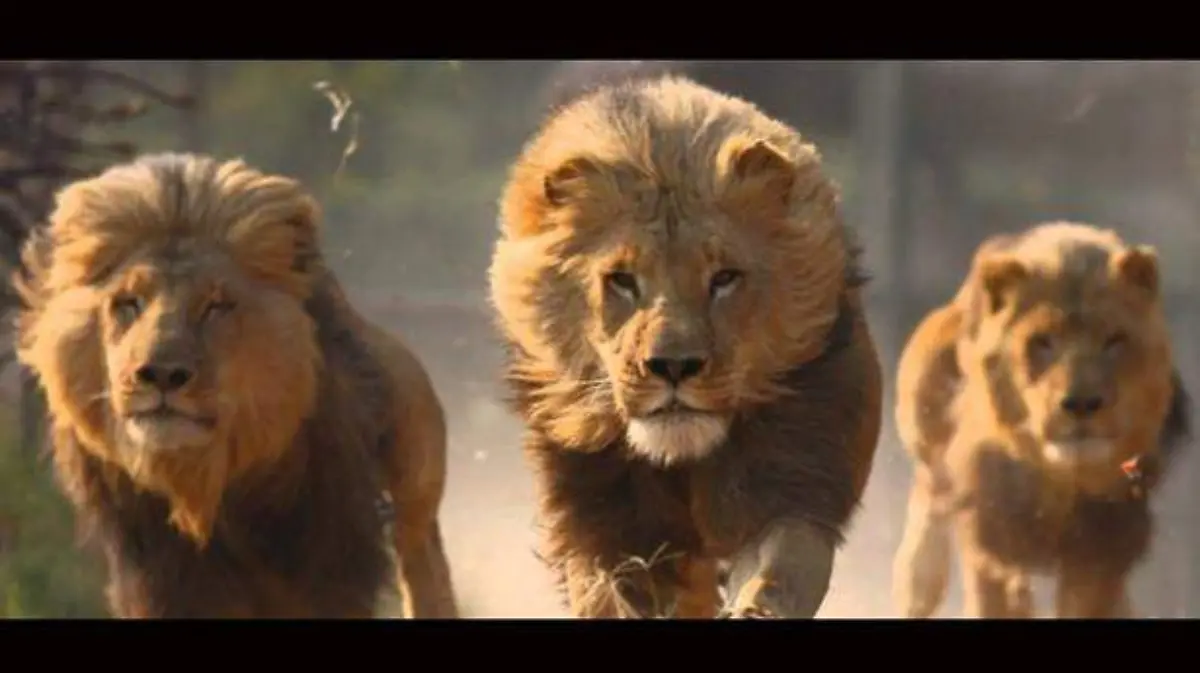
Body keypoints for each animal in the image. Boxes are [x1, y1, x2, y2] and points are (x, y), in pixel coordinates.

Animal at [12, 153, 459, 618]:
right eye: (128, 303)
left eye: (216, 306)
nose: (160, 374)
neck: (205, 484)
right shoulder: (161, 579)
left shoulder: (327, 564)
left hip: (417, 504)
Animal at [488, 73, 883, 618]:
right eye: (622, 281)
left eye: (724, 279)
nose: (673, 366)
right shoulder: (603, 524)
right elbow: (608, 594)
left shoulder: (788, 484)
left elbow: (780, 569)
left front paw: (754, 607)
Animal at [892, 220, 1191, 618]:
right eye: (1043, 341)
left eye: (1114, 340)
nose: (1082, 402)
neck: (1060, 481)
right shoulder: (990, 537)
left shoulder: (1101, 552)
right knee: (928, 496)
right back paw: (918, 578)